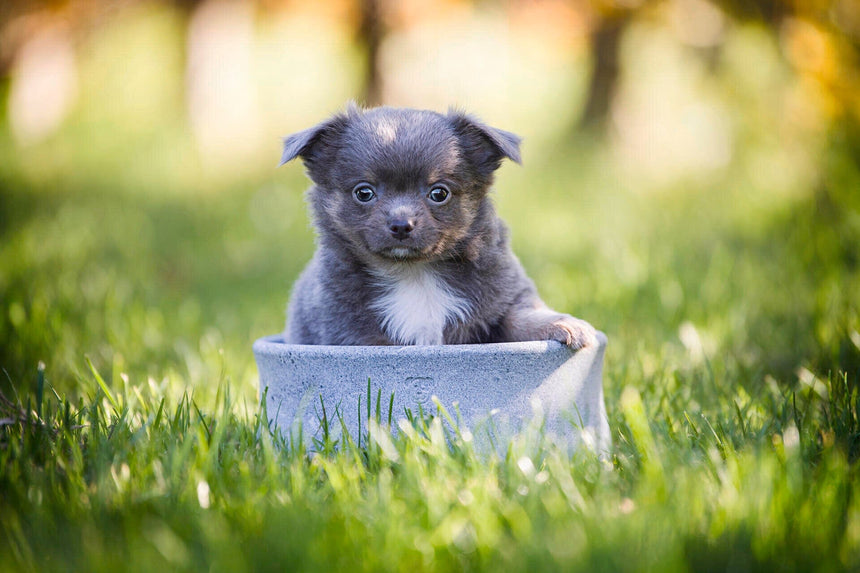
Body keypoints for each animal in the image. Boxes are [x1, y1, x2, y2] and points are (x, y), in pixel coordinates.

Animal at [278, 104, 596, 348]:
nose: (401, 224)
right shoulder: (350, 333)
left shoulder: (504, 298)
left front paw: (565, 324)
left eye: (439, 193)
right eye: (364, 192)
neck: (415, 274)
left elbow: (519, 317)